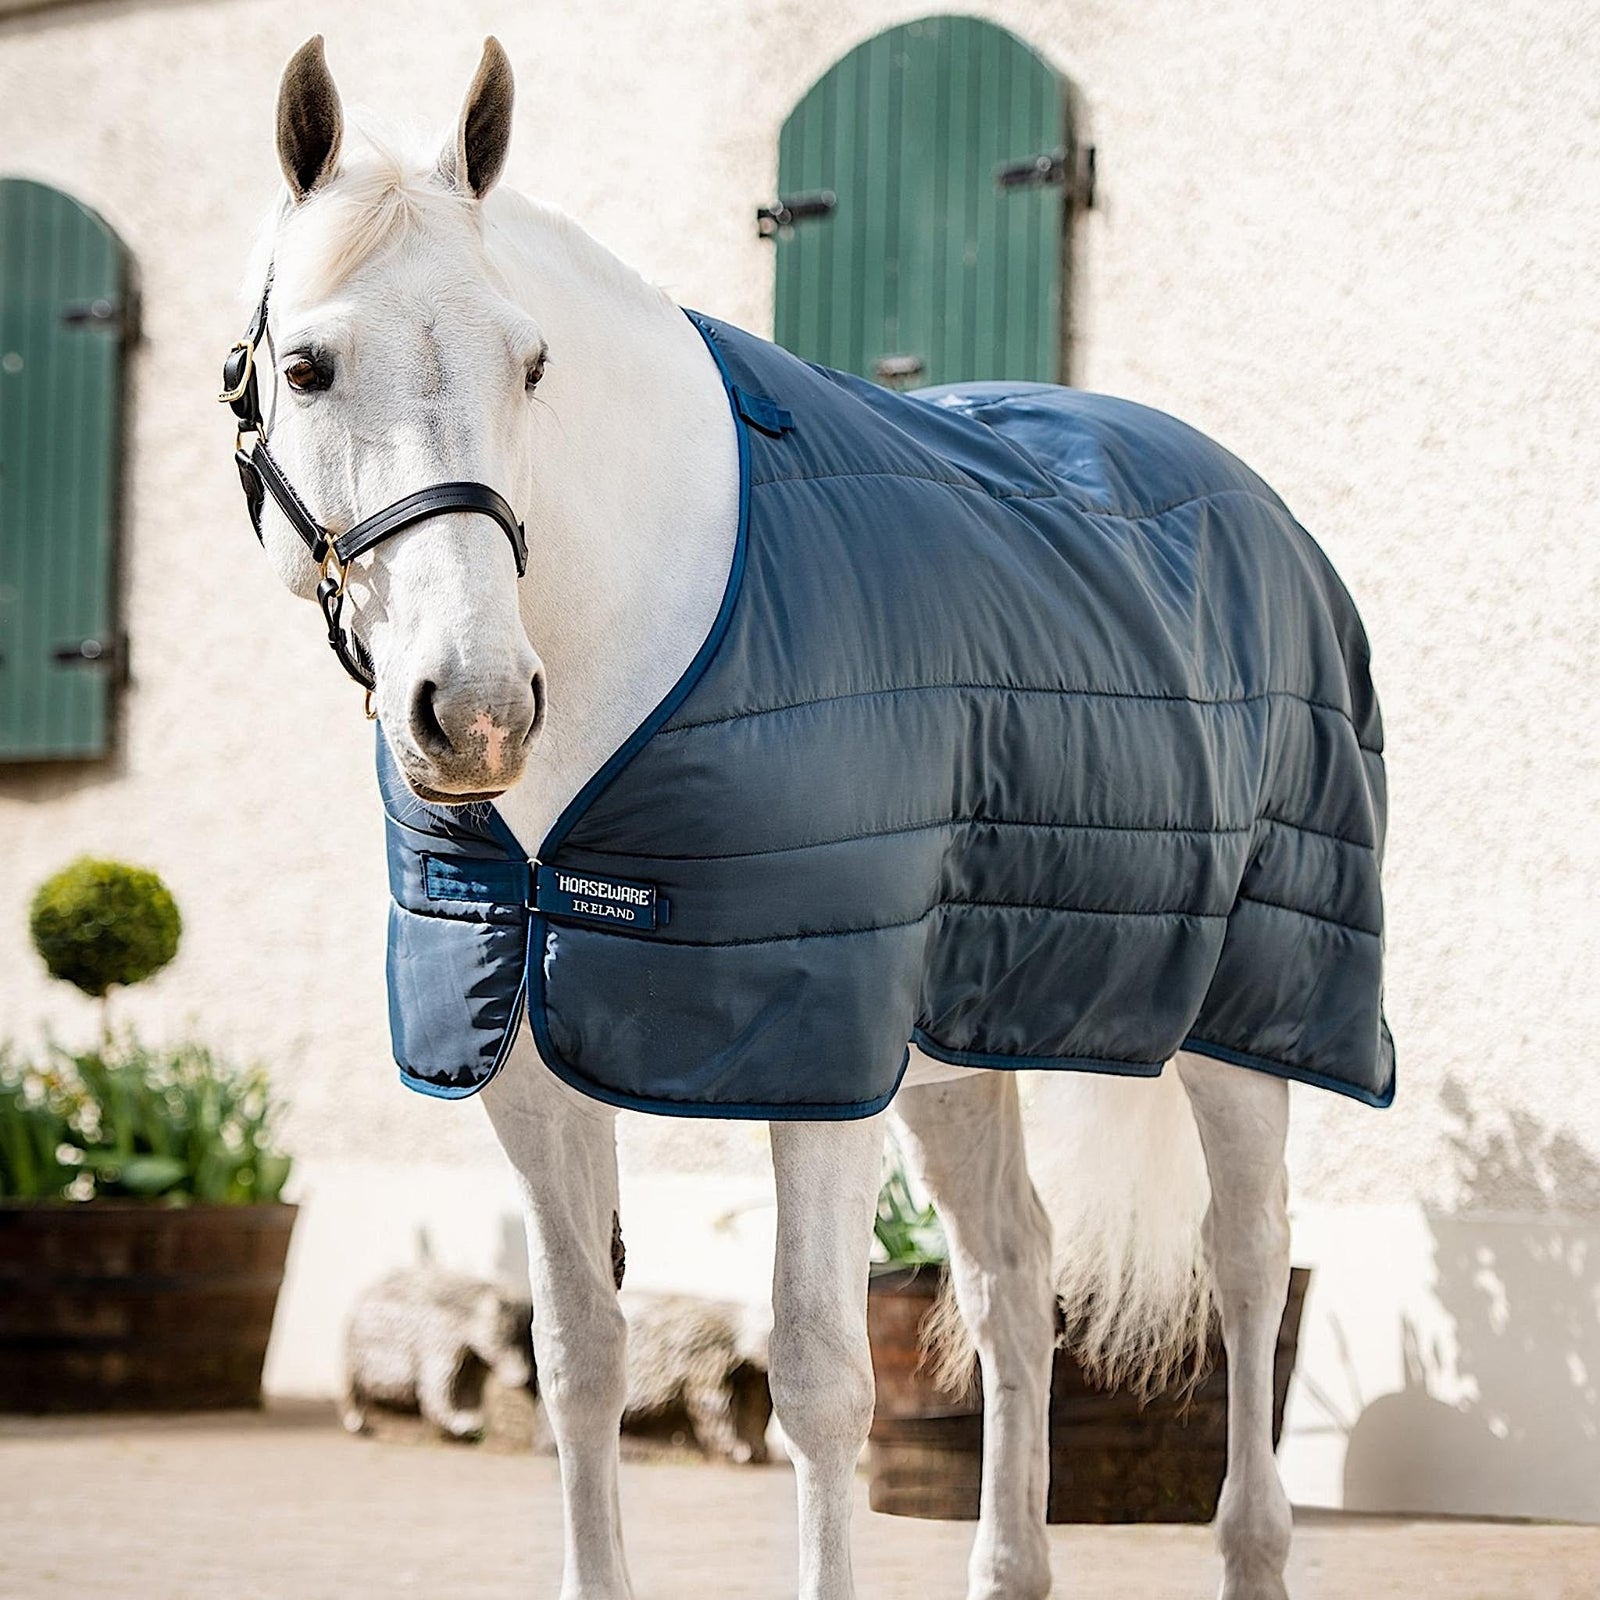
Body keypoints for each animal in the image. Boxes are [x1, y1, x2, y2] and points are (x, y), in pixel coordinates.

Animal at [233, 35, 1392, 1600]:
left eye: (532, 363)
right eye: (306, 367)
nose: (473, 710)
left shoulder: (811, 1051)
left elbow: (823, 1382)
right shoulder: (530, 1061)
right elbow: (577, 1364)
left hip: (1247, 1016)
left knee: (1249, 1262)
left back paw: (1252, 1541)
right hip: (964, 1047)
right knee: (1016, 1276)